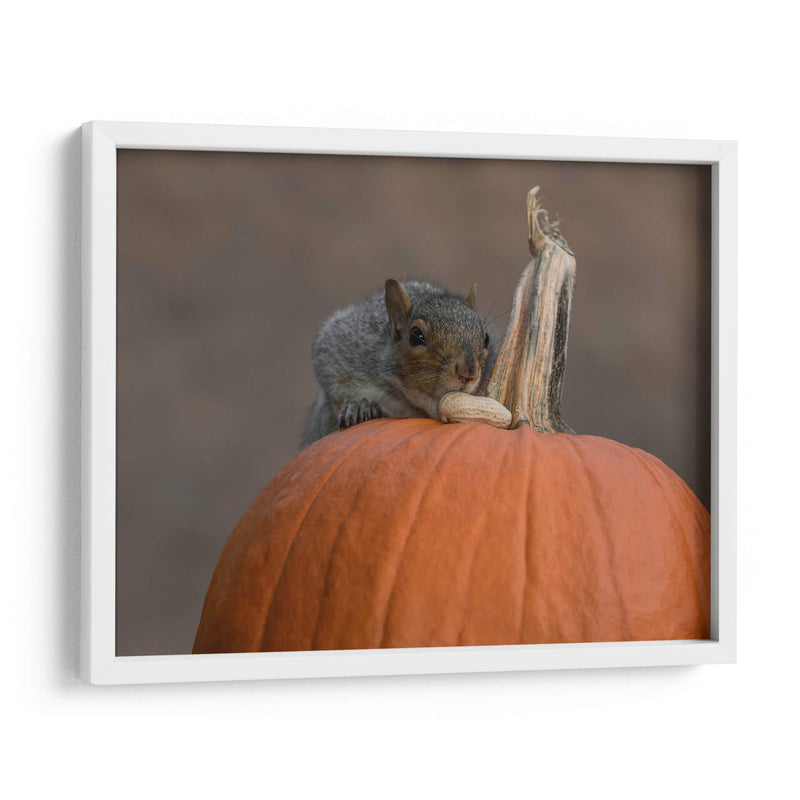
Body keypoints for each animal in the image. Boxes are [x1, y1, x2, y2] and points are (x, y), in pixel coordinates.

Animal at [301, 279, 499, 448]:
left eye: (487, 338)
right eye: (416, 336)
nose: (468, 373)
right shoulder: (344, 345)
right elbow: (334, 378)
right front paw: (358, 408)